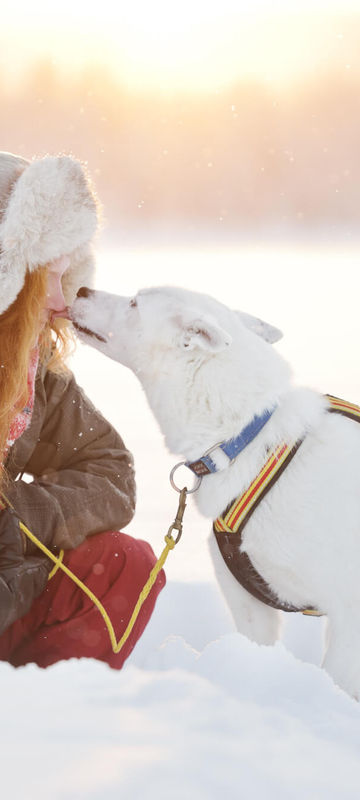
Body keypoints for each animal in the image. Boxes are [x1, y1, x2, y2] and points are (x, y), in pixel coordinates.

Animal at [71, 288, 360, 700]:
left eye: (135, 303)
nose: (82, 290)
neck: (248, 440)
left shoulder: (350, 614)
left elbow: (340, 680)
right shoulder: (247, 601)